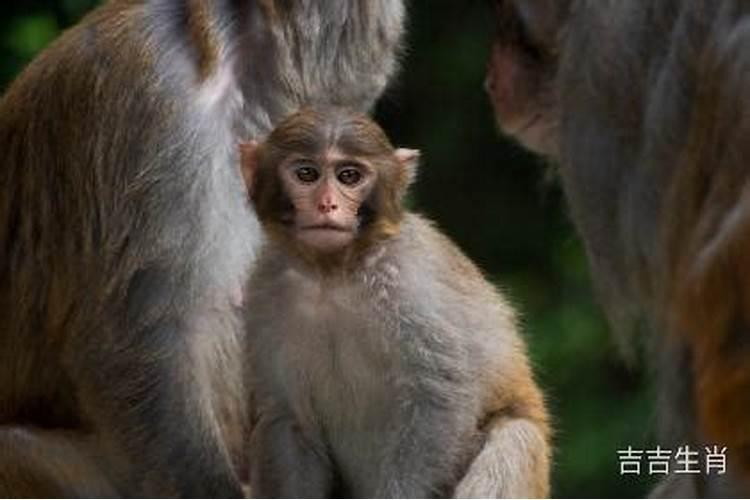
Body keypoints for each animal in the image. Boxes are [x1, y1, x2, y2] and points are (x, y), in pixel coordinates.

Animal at [242, 107, 552, 498]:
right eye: (306, 173)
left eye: (349, 176)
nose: (327, 204)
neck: (332, 274)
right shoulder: (265, 292)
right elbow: (288, 417)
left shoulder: (411, 282)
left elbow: (439, 398)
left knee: (514, 437)